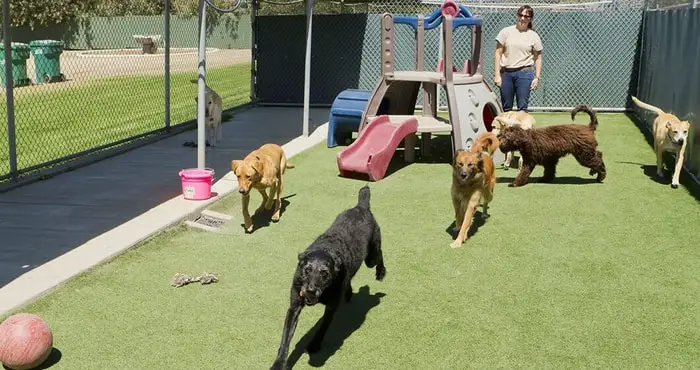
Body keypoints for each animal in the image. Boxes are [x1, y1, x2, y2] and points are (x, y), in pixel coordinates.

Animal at [270, 185, 386, 370]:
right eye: (307, 270)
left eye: (325, 273)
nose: (310, 291)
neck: (326, 248)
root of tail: (361, 207)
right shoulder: (294, 306)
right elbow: (285, 338)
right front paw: (279, 363)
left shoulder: (331, 307)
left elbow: (322, 328)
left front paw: (314, 345)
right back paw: (349, 293)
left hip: (371, 257)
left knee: (379, 254)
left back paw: (381, 273)